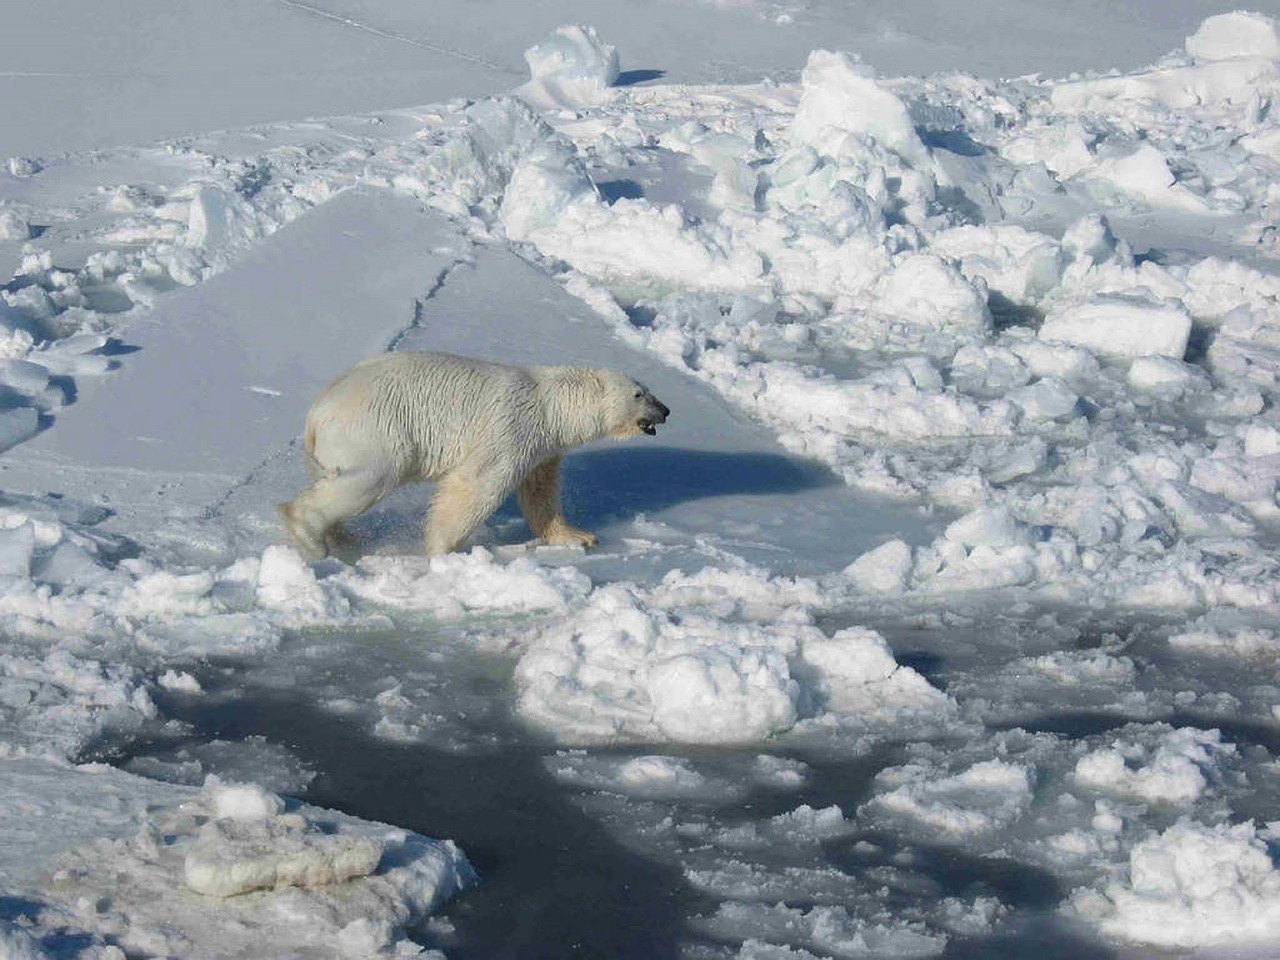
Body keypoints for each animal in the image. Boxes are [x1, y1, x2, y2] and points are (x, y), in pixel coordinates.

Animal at [277, 353, 670, 563]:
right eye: (640, 394)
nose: (666, 410)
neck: (550, 403)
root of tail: (317, 413)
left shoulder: (543, 447)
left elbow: (540, 492)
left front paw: (579, 536)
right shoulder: (512, 427)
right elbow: (479, 483)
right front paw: (442, 549)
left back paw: (342, 540)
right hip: (376, 430)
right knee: (370, 477)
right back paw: (309, 535)